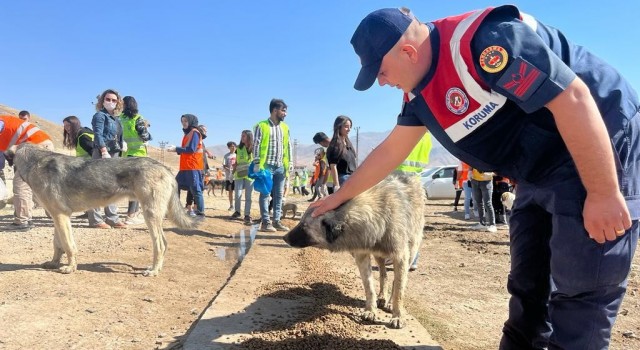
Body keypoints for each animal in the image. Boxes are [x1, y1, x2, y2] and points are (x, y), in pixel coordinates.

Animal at [13, 144, 199, 276]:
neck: (34, 163)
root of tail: (165, 168)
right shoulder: (57, 217)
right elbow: (57, 245)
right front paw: (54, 263)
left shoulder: (61, 216)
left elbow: (68, 245)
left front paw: (70, 268)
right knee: (164, 243)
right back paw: (157, 268)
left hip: (150, 216)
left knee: (159, 244)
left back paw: (153, 271)